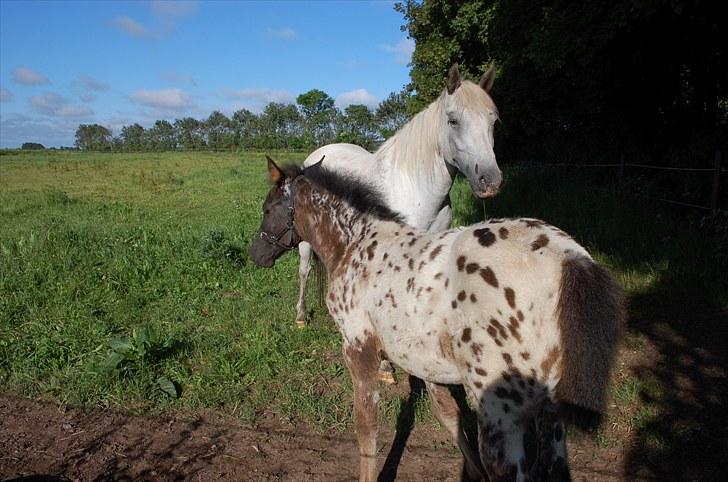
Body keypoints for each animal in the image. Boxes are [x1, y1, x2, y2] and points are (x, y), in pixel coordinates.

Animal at [252, 156, 624, 480]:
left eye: (268, 209)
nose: (257, 254)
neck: (355, 244)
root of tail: (569, 256)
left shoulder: (358, 349)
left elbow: (367, 425)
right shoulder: (425, 360)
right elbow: (447, 413)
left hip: (500, 412)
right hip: (551, 416)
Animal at [292, 63, 504, 328]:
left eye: (493, 121)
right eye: (453, 121)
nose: (490, 180)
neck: (416, 190)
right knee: (304, 269)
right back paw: (301, 316)